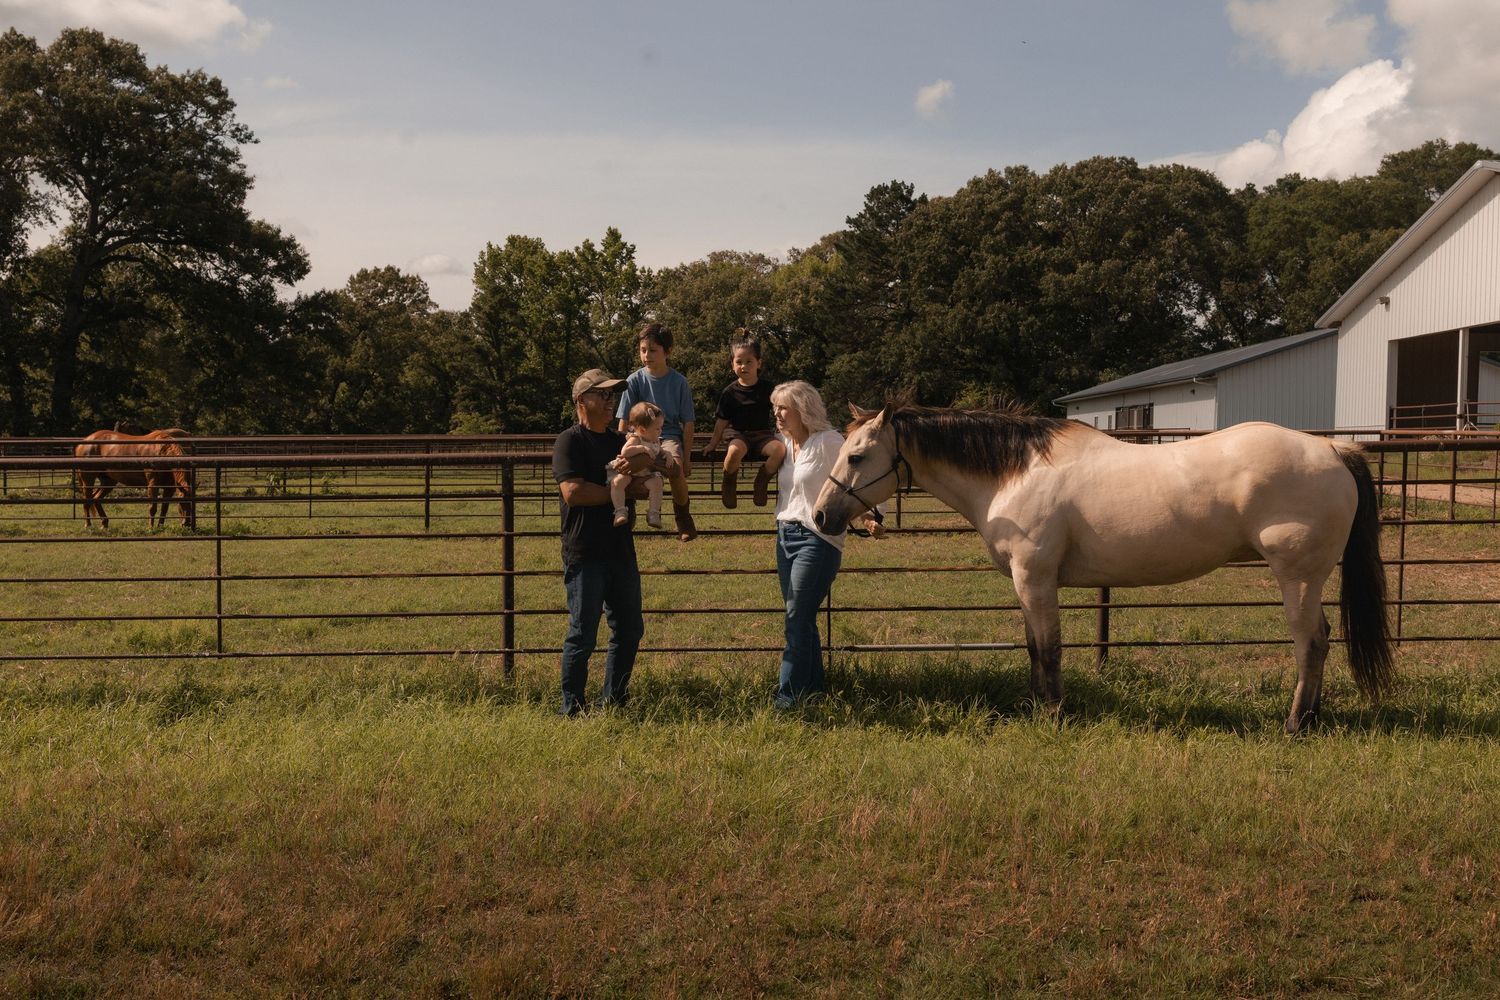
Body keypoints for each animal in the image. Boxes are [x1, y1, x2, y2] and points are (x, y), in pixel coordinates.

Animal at [812, 404, 1393, 734]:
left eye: (857, 456)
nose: (821, 515)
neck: (1014, 474)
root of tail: (1332, 448)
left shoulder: (1036, 578)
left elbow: (1049, 649)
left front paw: (1054, 716)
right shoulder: (1028, 583)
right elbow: (1033, 648)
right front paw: (1036, 708)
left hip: (1298, 577)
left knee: (1311, 643)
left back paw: (1297, 724)